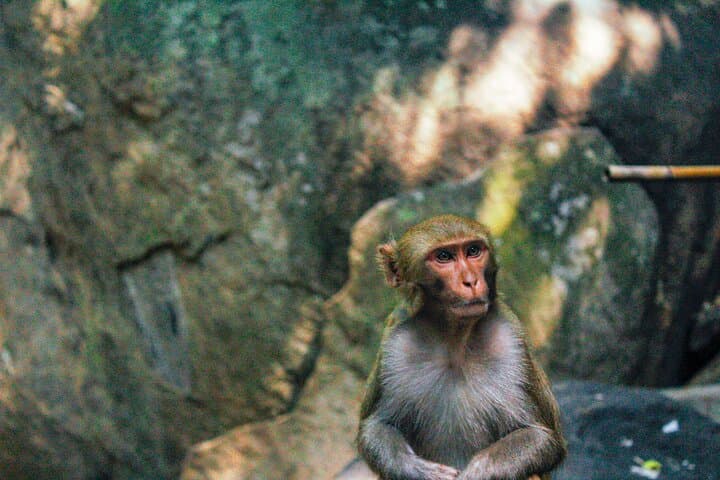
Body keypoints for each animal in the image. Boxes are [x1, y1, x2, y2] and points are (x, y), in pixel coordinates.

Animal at [357, 214, 566, 480]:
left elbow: (541, 436)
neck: (454, 340)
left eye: (473, 251)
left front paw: (477, 473)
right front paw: (420, 471)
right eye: (444, 257)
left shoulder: (511, 342)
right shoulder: (394, 345)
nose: (471, 281)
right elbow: (375, 427)